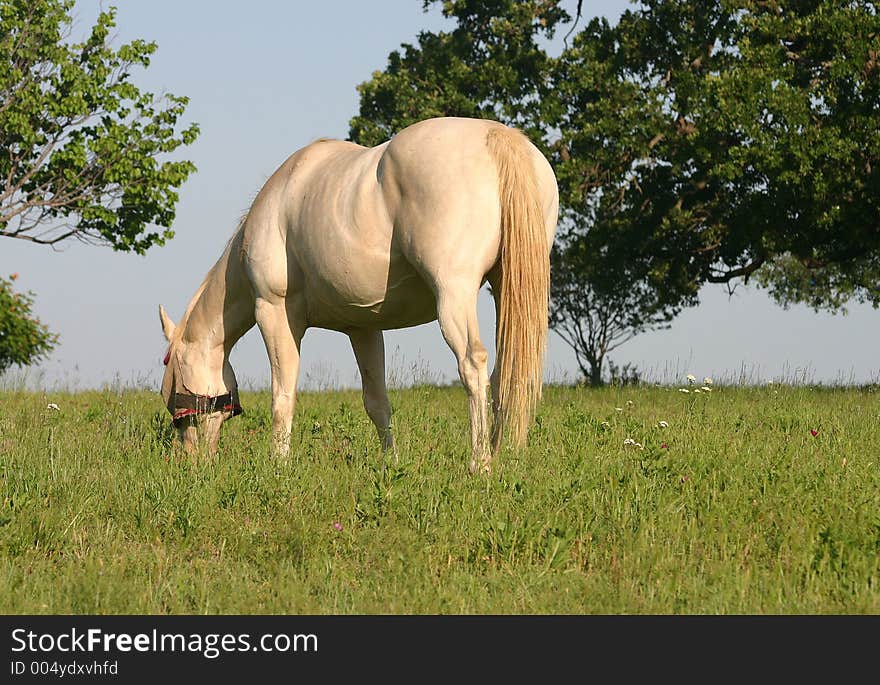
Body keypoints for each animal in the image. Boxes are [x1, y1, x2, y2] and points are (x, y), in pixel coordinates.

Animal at [158, 116, 556, 470]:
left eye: (174, 394)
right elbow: (377, 401)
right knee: (505, 374)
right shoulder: (363, 328)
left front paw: (278, 463)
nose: (192, 461)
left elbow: (282, 395)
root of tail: (496, 137)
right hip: (507, 290)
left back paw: (480, 463)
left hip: (454, 294)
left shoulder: (274, 312)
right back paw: (500, 455)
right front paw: (390, 462)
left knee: (473, 365)